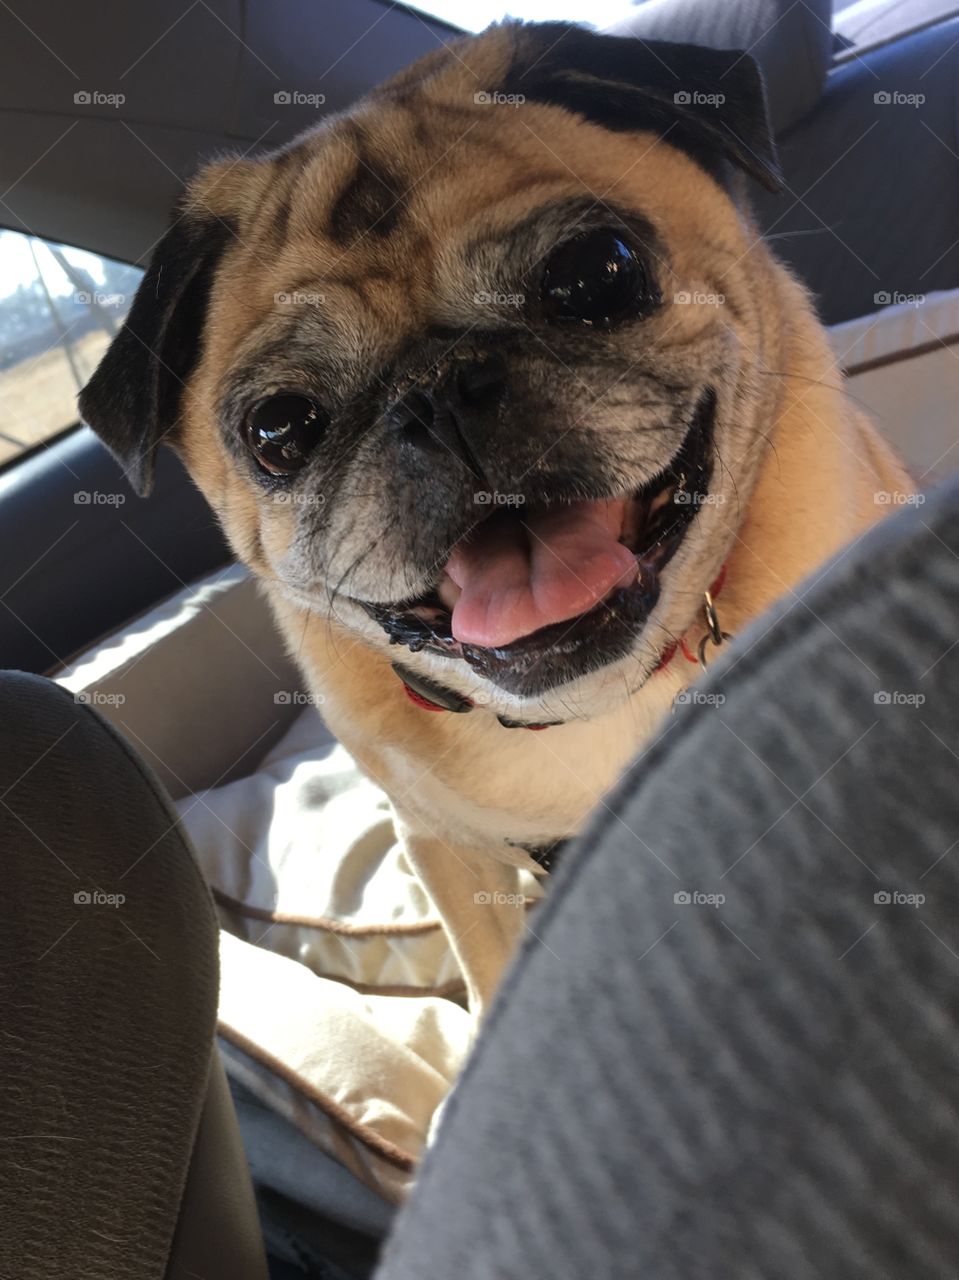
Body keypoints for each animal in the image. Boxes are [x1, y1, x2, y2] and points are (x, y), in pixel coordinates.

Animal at [82, 17, 911, 998]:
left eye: (596, 274)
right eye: (278, 429)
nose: (437, 393)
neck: (588, 704)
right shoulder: (440, 847)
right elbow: (488, 974)